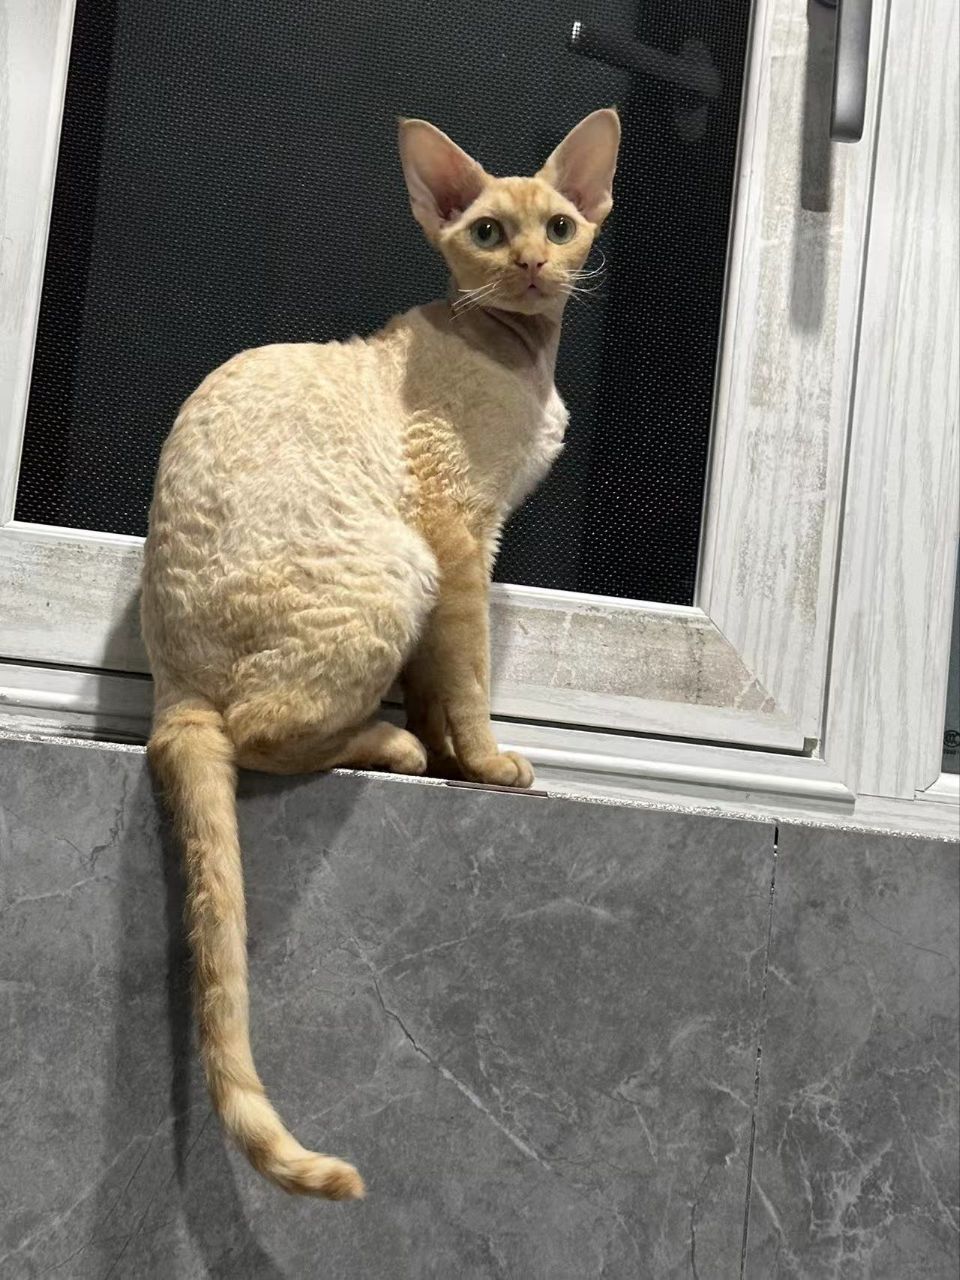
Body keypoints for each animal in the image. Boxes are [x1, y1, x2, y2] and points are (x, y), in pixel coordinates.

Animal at [141, 108, 620, 1200]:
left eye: (560, 225)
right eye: (487, 232)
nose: (532, 263)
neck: (523, 355)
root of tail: (168, 681)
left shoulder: (466, 545)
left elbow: (437, 677)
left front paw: (451, 759)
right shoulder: (456, 531)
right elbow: (468, 667)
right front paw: (479, 762)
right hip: (393, 565)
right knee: (256, 732)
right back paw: (386, 746)